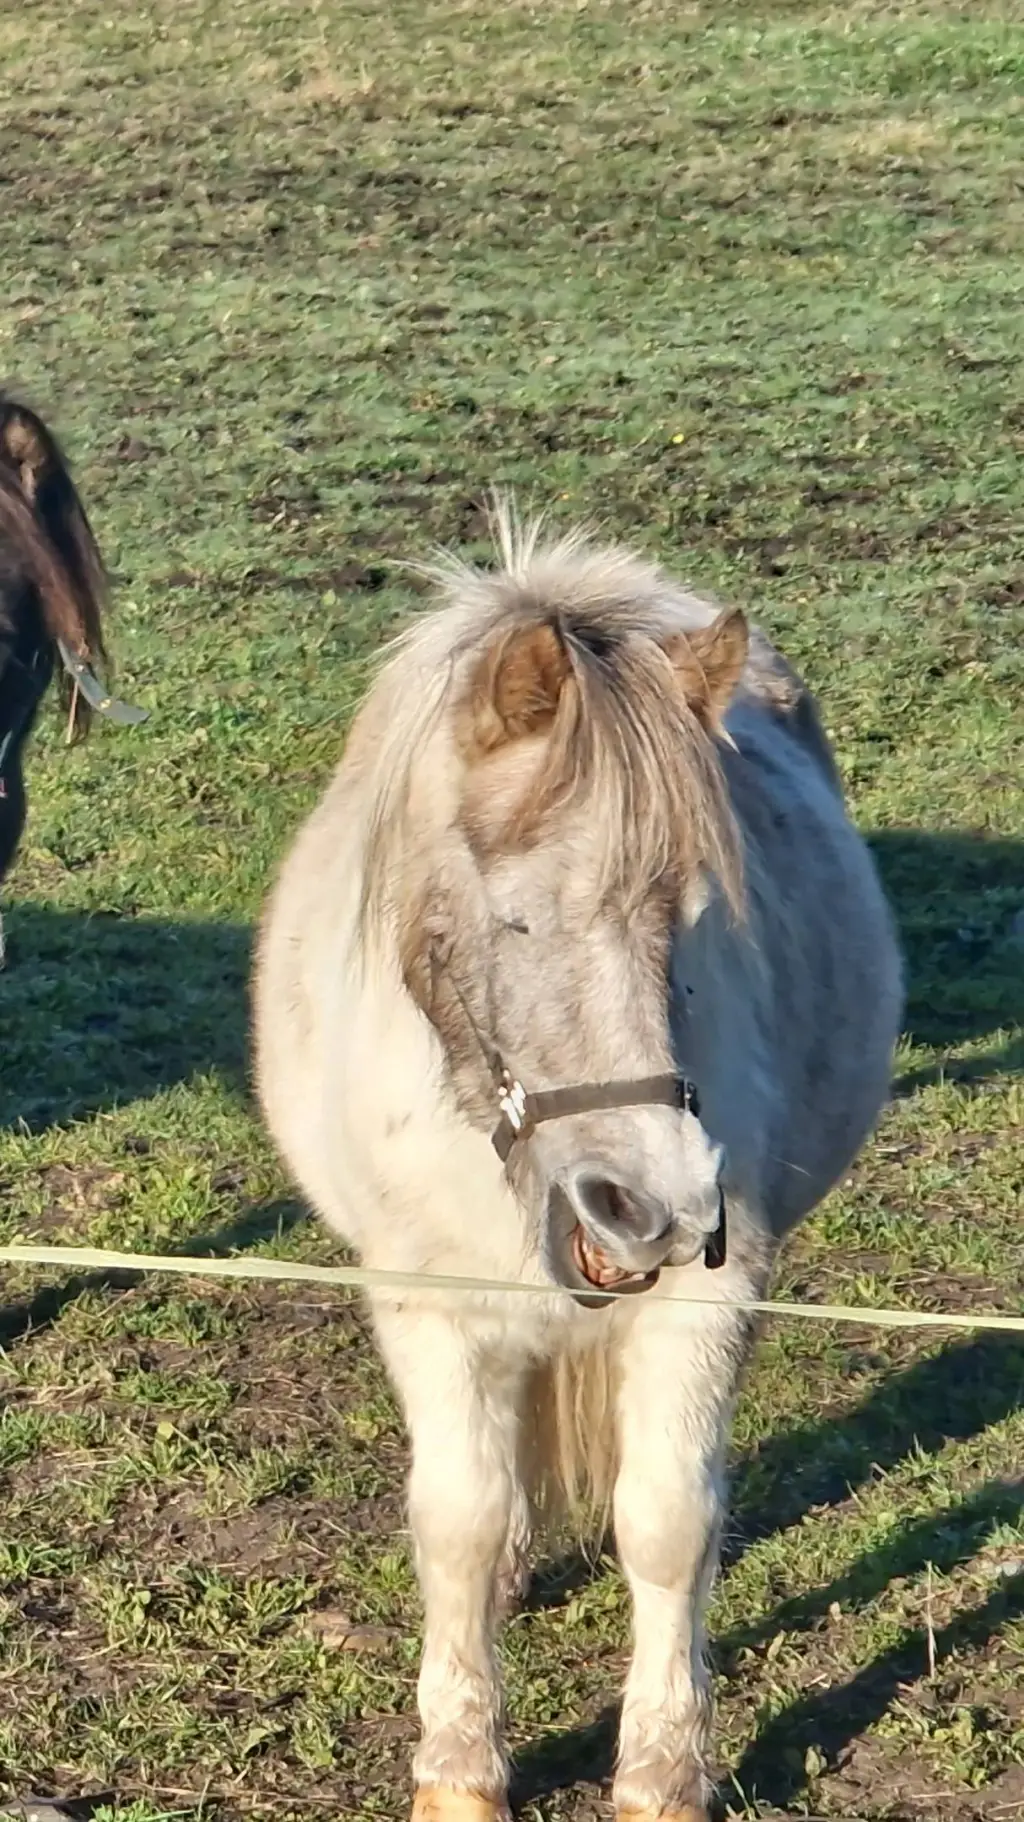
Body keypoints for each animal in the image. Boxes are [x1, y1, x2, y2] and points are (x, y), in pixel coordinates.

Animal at [254, 509, 903, 1822]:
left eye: (685, 918)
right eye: (513, 919)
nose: (648, 1205)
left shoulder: (711, 1296)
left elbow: (667, 1521)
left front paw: (662, 1769)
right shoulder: (427, 1301)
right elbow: (456, 1519)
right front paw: (458, 1771)